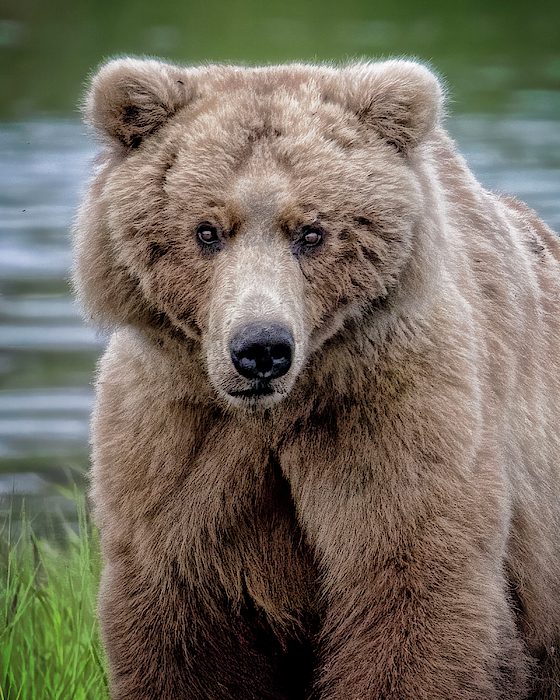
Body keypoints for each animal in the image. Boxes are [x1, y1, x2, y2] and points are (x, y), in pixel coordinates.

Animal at [71, 56, 560, 700]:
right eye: (206, 230)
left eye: (311, 231)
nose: (261, 349)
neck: (279, 411)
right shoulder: (176, 445)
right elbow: (185, 634)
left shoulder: (395, 417)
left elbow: (415, 593)